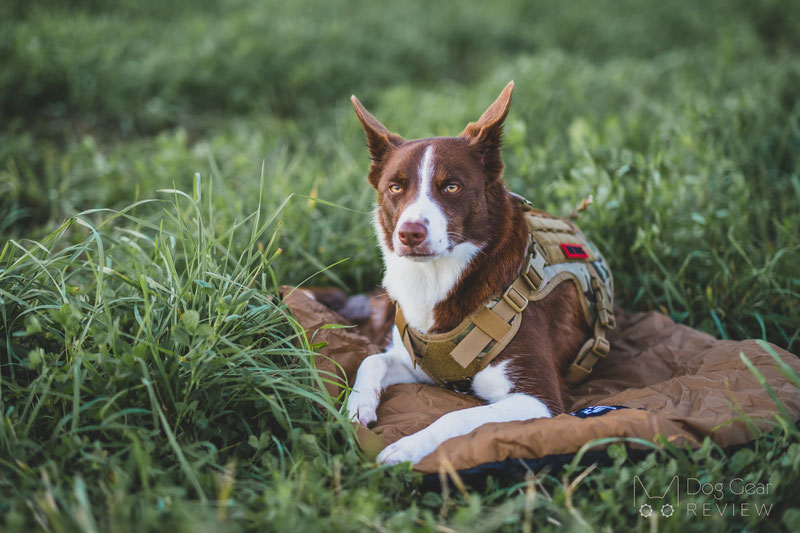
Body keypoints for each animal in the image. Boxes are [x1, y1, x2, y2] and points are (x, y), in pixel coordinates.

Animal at [346, 81, 592, 464]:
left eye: (451, 186)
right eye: (395, 187)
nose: (410, 233)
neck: (438, 277)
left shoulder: (539, 400)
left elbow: (456, 415)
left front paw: (407, 447)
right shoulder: (415, 361)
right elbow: (371, 359)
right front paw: (358, 404)